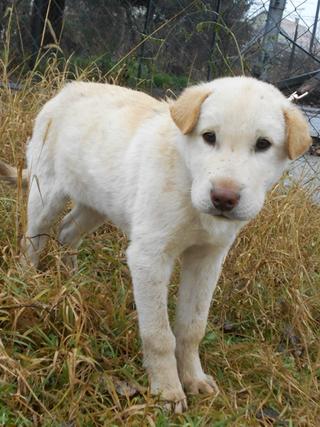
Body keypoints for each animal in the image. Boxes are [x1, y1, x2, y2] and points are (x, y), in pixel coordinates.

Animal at [0, 76, 310, 412]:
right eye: (209, 137)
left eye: (263, 144)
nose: (223, 199)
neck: (188, 179)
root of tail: (66, 90)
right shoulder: (149, 258)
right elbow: (159, 334)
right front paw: (168, 391)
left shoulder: (208, 259)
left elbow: (192, 327)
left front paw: (193, 378)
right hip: (46, 193)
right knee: (33, 239)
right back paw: (28, 283)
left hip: (97, 204)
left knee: (68, 231)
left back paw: (72, 278)